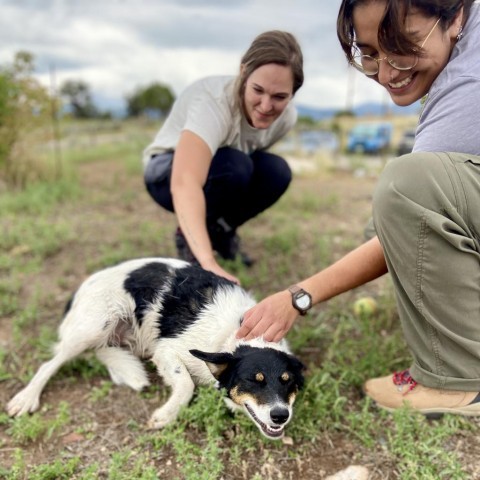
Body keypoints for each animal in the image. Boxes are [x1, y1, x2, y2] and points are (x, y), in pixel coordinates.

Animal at [7, 258, 304, 438]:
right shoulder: (166, 351)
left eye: (287, 382)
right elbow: (186, 385)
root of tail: (79, 291)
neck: (238, 334)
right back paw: (26, 397)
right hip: (95, 325)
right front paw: (166, 415)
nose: (280, 416)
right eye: (254, 381)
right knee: (52, 362)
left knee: (100, 350)